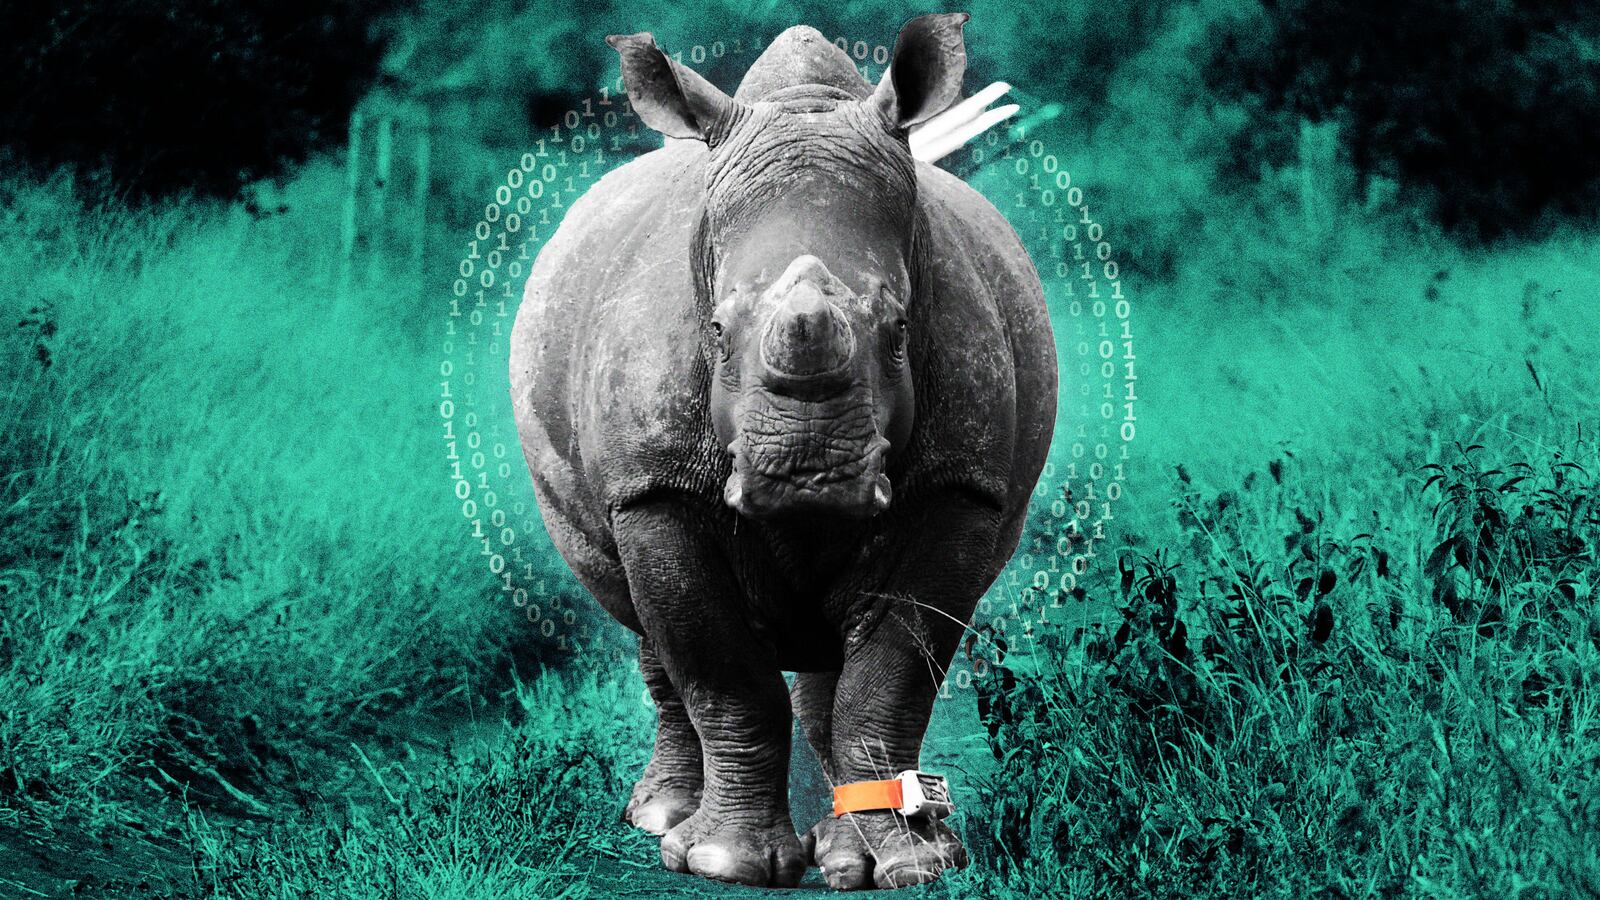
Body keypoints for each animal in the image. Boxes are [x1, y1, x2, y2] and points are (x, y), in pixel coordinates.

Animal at [509, 13, 1056, 889]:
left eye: (900, 329)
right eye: (715, 330)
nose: (809, 474)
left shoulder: (961, 487)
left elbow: (890, 678)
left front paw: (915, 864)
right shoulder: (655, 485)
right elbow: (723, 672)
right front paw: (719, 862)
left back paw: (843, 849)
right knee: (645, 625)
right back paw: (661, 818)